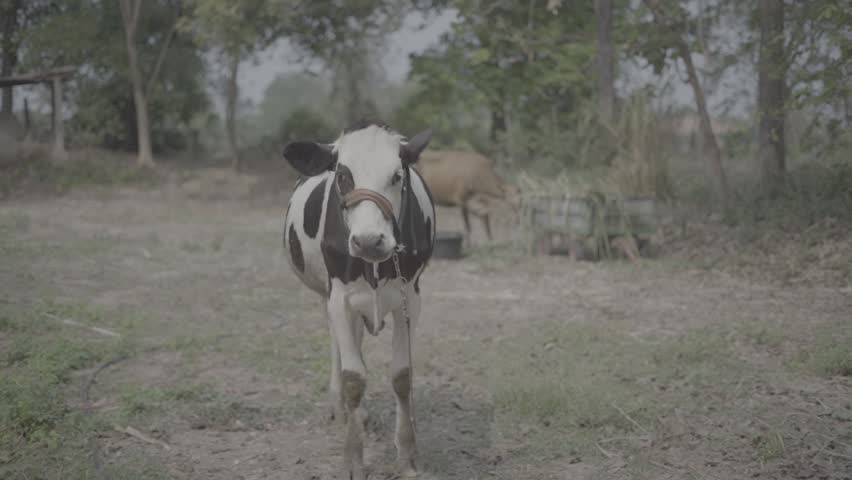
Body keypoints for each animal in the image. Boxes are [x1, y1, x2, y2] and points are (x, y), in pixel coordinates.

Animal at [282, 120, 435, 480]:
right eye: (342, 175)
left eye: (397, 175)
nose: (368, 241)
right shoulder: (338, 297)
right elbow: (354, 377)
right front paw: (353, 457)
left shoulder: (411, 297)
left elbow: (402, 375)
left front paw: (407, 453)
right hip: (330, 297)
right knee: (340, 346)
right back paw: (341, 407)